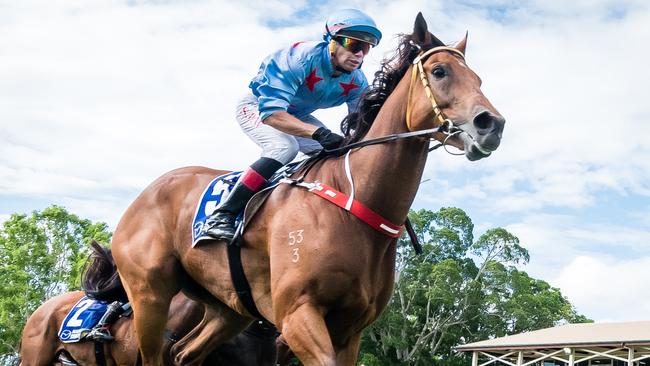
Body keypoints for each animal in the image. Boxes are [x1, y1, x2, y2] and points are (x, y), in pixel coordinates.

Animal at [112, 12, 506, 366]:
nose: (492, 124)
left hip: (227, 307)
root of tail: (146, 194)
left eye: (479, 78)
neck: (354, 201)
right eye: (440, 71)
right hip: (150, 295)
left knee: (183, 353)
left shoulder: (351, 329)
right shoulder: (298, 315)